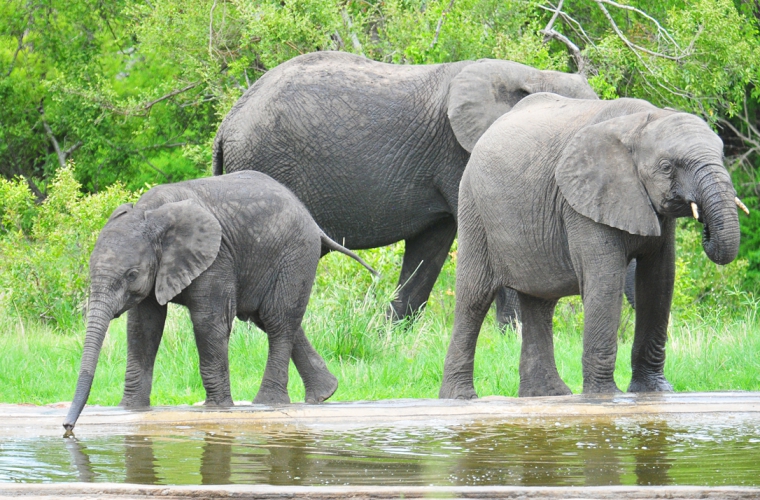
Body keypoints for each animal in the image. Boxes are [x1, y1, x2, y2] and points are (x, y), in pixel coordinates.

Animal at [62, 172, 378, 434]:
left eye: (131, 274)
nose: (67, 427)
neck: (149, 213)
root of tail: (314, 223)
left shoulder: (216, 258)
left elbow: (208, 322)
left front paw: (218, 408)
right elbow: (143, 328)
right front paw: (130, 409)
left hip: (296, 254)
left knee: (278, 321)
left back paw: (266, 403)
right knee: (272, 318)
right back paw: (324, 394)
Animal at [212, 51, 600, 324]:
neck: (527, 73)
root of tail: (227, 122)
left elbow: (431, 245)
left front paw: (390, 335)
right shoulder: (459, 153)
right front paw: (515, 335)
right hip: (264, 163)